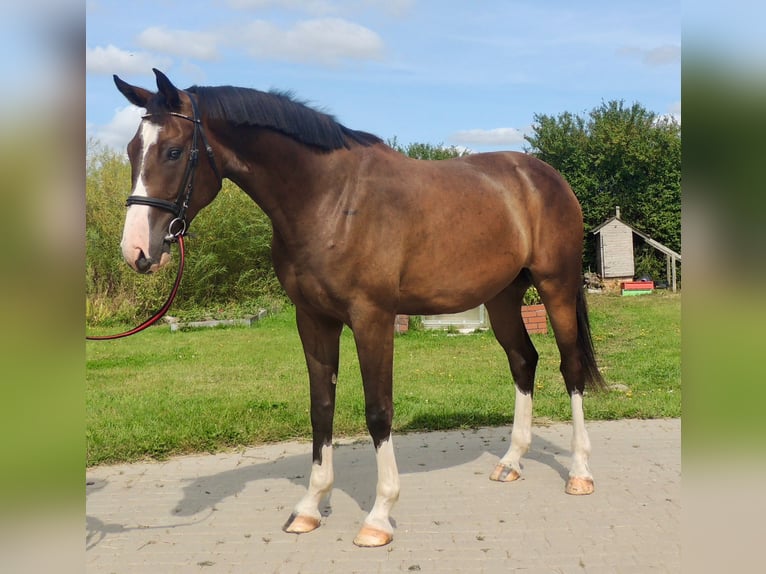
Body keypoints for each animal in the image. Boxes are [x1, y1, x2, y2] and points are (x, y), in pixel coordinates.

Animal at [112, 71, 608, 548]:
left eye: (173, 151)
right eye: (133, 150)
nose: (137, 250)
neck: (330, 200)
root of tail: (544, 175)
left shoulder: (372, 318)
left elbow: (378, 410)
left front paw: (379, 516)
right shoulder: (313, 320)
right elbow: (321, 407)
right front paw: (310, 507)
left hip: (556, 286)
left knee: (570, 367)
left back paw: (581, 473)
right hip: (503, 296)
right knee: (524, 361)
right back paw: (511, 461)